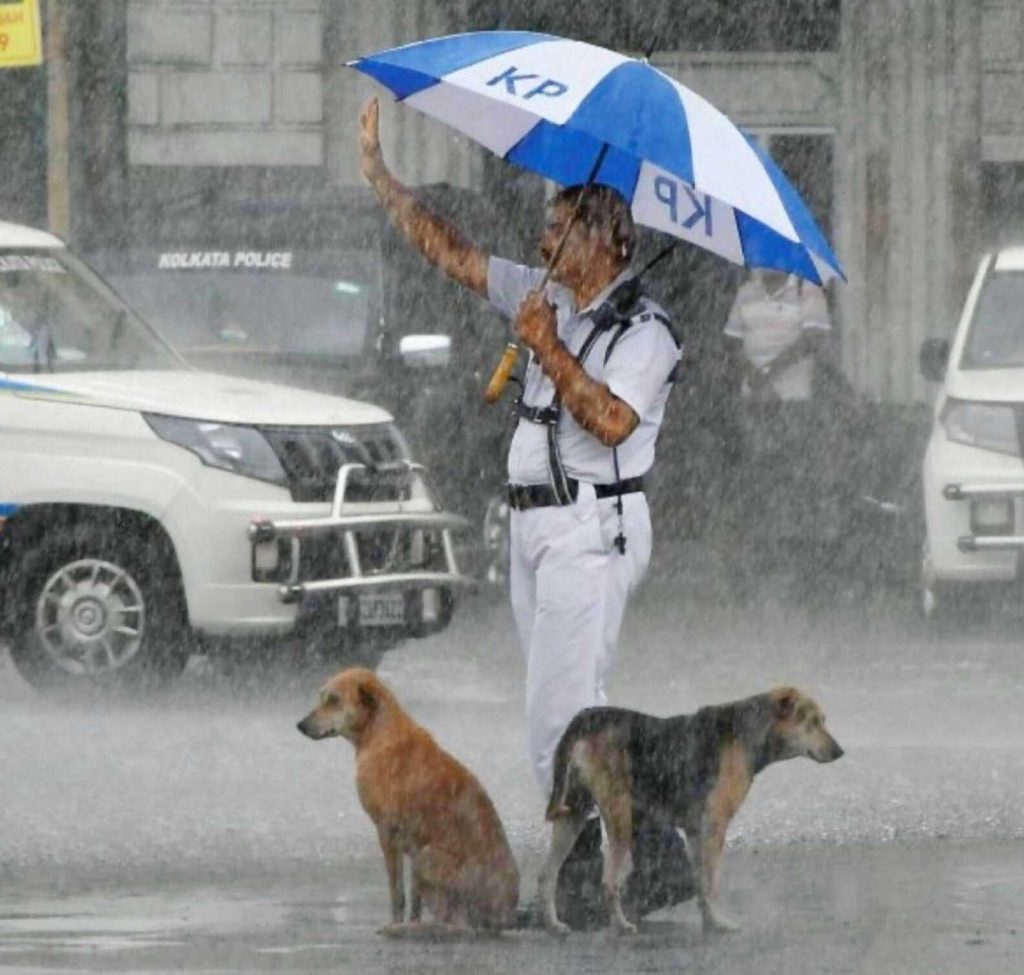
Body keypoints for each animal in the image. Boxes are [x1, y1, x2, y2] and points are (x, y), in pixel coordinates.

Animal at [296, 667, 520, 934]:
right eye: (322, 696)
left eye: (334, 700)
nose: (300, 725)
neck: (378, 732)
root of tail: (504, 916)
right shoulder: (411, 848)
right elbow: (414, 899)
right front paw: (411, 920)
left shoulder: (387, 832)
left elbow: (397, 893)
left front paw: (395, 922)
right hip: (422, 859)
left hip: (427, 857)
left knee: (458, 923)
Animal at [536, 684, 839, 938]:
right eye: (812, 722)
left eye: (823, 720)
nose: (840, 752)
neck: (748, 732)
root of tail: (587, 717)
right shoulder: (715, 826)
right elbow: (711, 882)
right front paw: (721, 923)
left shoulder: (695, 831)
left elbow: (700, 884)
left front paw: (710, 922)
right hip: (620, 814)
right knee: (609, 882)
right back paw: (621, 925)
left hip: (573, 814)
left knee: (547, 875)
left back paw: (554, 925)